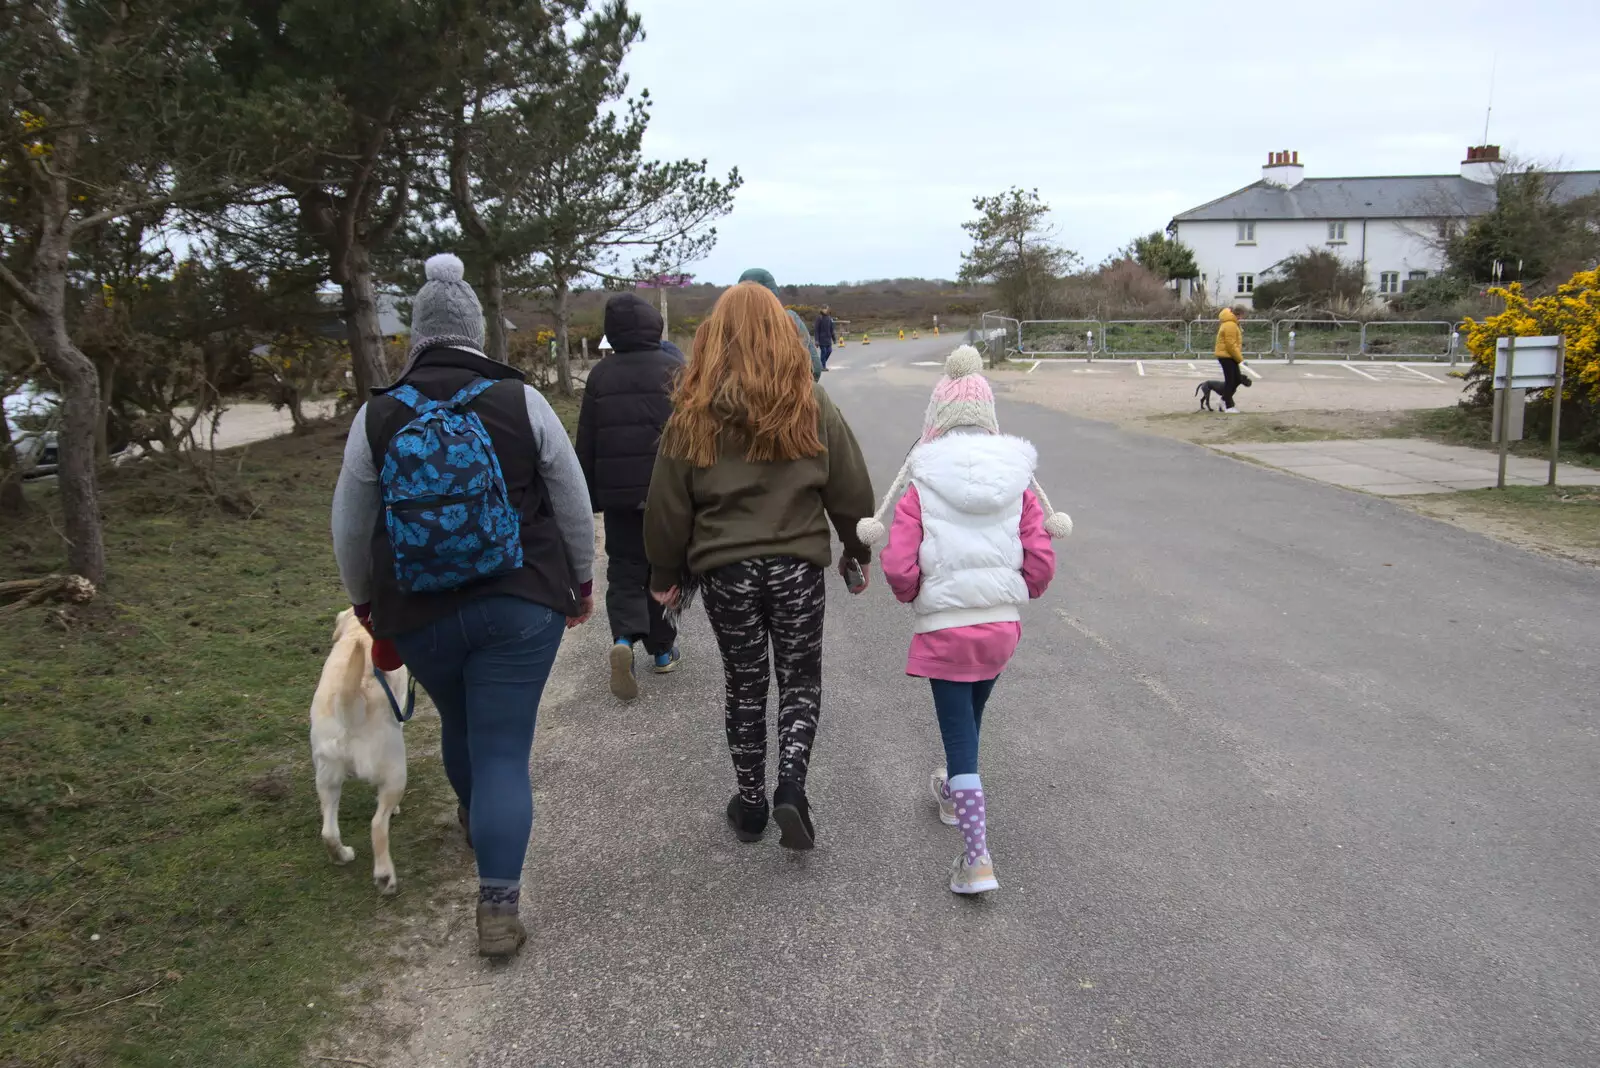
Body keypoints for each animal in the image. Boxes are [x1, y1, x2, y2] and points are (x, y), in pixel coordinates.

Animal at [305, 607, 406, 895]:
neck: (358, 633)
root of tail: (351, 707)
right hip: (396, 771)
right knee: (377, 825)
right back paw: (385, 876)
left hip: (326, 778)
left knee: (328, 832)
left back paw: (341, 856)